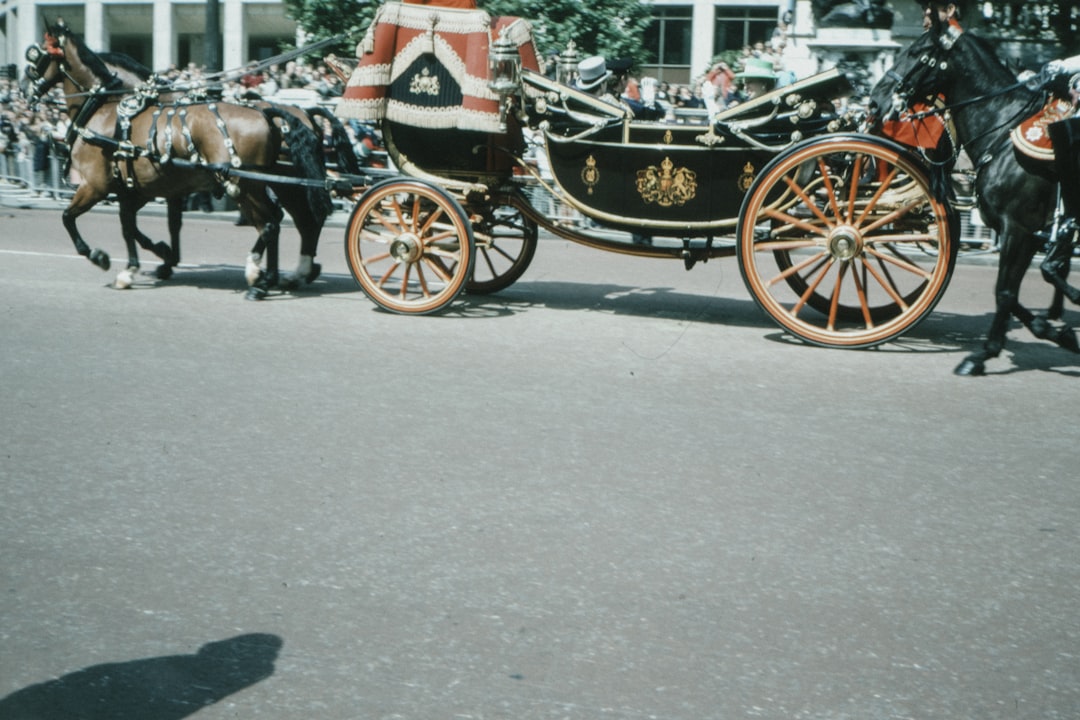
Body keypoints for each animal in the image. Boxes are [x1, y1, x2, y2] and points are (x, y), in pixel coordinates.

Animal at [27, 21, 330, 295]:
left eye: (37, 56)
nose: (24, 92)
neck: (107, 111)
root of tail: (272, 113)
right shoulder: (139, 189)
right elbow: (135, 226)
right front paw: (153, 260)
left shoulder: (96, 185)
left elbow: (70, 218)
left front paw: (102, 257)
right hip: (276, 183)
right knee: (296, 221)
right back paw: (288, 274)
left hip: (248, 184)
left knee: (273, 222)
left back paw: (261, 275)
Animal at [868, 23, 1080, 371]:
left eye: (915, 52)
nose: (875, 102)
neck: (1002, 135)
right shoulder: (1023, 232)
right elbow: (1010, 293)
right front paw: (1054, 334)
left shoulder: (1018, 229)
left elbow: (1007, 290)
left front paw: (984, 353)